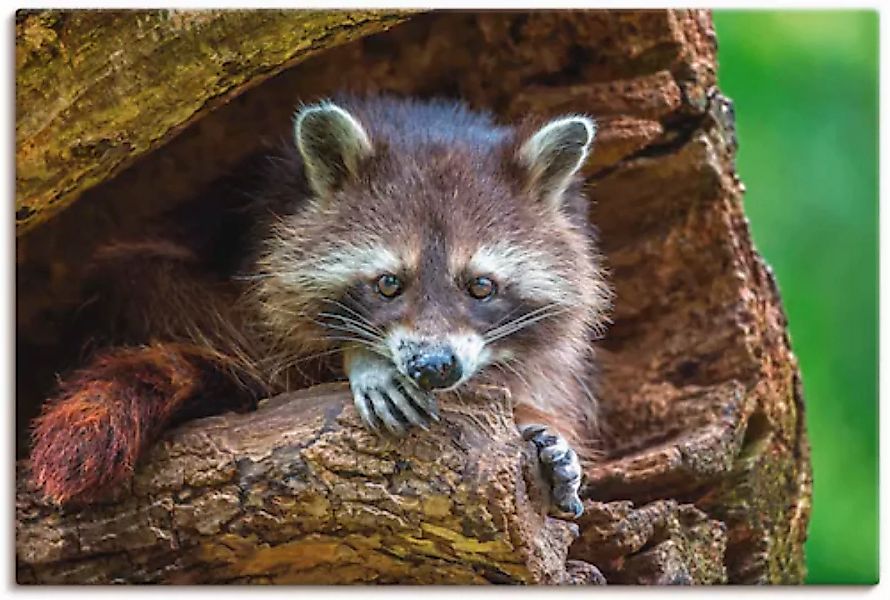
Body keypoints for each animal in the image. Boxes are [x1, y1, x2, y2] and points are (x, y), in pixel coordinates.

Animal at [27, 96, 612, 516]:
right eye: (388, 284)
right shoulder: (261, 232)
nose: (433, 367)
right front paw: (360, 358)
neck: (429, 122)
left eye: (482, 287)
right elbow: (267, 336)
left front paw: (543, 428)